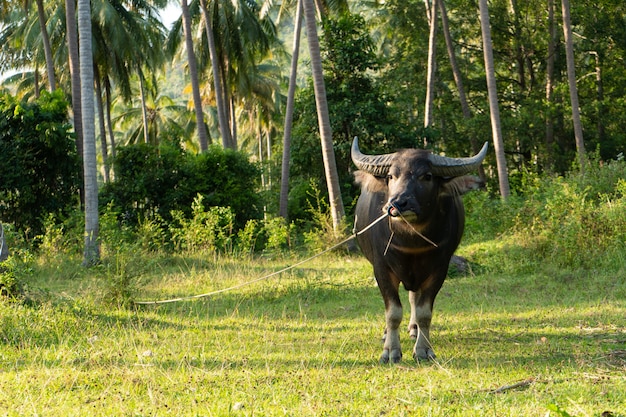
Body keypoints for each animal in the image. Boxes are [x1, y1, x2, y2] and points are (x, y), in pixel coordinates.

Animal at [352, 138, 488, 362]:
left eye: (427, 176)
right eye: (391, 175)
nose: (398, 203)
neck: (411, 241)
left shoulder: (439, 270)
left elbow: (424, 312)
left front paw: (424, 349)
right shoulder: (381, 268)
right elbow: (393, 312)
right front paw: (390, 351)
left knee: (413, 297)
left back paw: (414, 329)